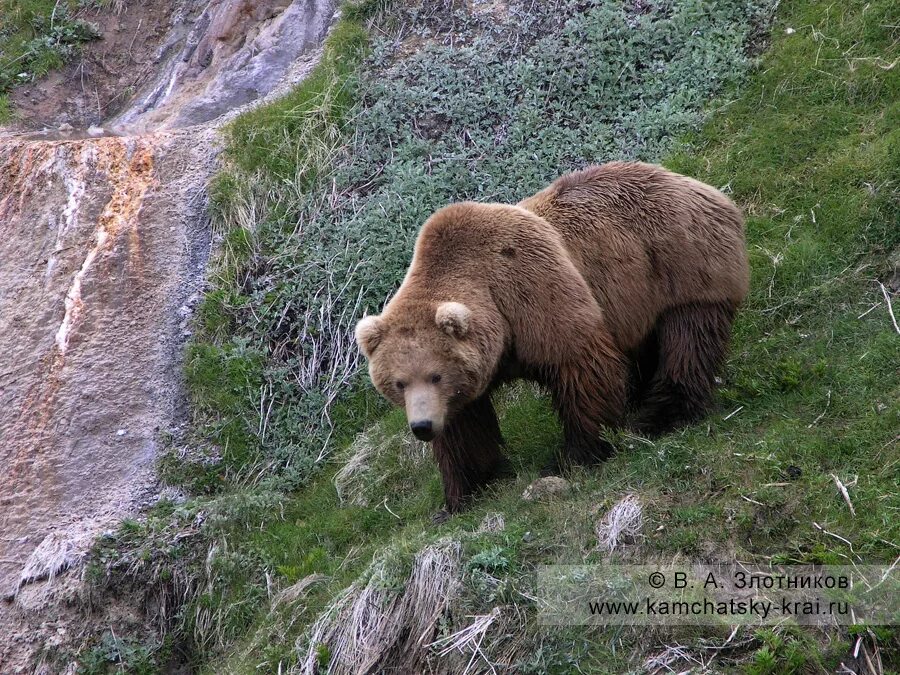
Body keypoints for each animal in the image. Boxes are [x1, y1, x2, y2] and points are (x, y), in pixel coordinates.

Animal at [356, 162, 748, 512]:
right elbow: (464, 428)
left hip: (681, 267)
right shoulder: (470, 378)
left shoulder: (529, 288)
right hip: (638, 300)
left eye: (435, 375)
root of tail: (703, 187)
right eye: (399, 382)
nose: (422, 427)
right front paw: (462, 494)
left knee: (688, 341)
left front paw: (576, 455)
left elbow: (580, 366)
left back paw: (663, 414)